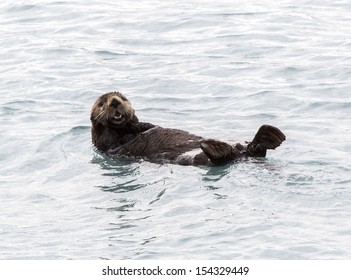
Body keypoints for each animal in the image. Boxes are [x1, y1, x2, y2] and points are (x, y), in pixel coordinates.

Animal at [91, 92, 286, 166]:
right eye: (101, 103)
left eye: (123, 98)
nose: (115, 101)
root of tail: (242, 155)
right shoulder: (109, 146)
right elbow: (114, 142)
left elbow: (149, 126)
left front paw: (141, 125)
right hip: (199, 158)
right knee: (221, 158)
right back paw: (212, 146)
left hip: (243, 146)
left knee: (255, 148)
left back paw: (271, 134)